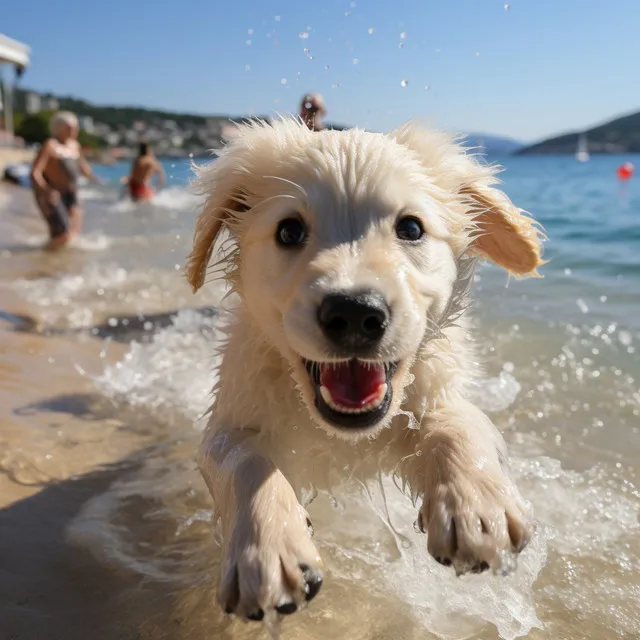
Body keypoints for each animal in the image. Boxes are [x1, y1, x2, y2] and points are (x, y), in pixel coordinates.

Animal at [186, 117, 544, 624]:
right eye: (289, 231)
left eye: (410, 227)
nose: (354, 313)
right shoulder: (234, 413)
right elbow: (243, 462)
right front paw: (268, 549)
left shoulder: (436, 390)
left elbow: (458, 424)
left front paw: (477, 505)